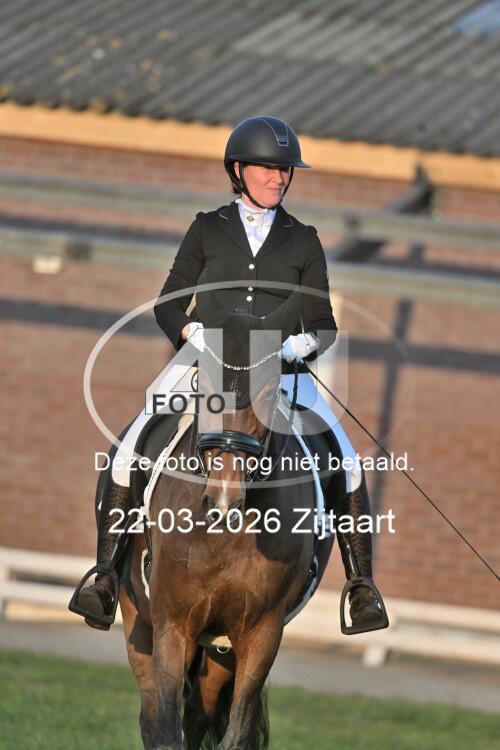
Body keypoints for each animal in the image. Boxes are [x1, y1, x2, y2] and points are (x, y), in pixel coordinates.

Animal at [117, 300, 339, 750]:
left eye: (268, 392)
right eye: (204, 388)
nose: (223, 498)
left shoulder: (261, 634)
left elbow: (234, 733)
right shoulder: (173, 627)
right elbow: (165, 729)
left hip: (221, 652)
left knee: (199, 713)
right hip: (140, 622)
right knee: (153, 717)